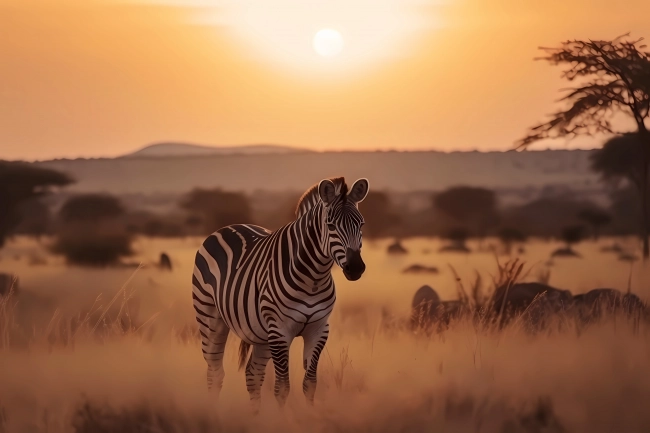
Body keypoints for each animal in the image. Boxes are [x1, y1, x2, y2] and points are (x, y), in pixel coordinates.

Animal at [190, 176, 368, 408]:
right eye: (330, 225)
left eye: (361, 224)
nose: (355, 268)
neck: (313, 277)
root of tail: (228, 226)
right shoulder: (280, 330)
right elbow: (282, 388)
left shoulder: (318, 328)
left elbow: (310, 384)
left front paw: (311, 415)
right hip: (210, 317)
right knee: (215, 372)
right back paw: (212, 412)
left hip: (261, 333)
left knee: (253, 374)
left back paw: (256, 415)